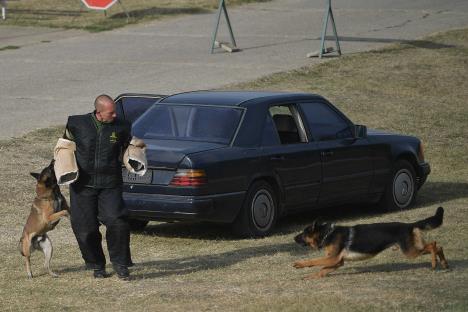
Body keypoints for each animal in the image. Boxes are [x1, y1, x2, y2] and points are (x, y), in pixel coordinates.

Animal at [292, 208, 450, 280]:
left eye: (303, 233)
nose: (293, 238)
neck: (327, 233)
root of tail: (409, 225)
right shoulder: (337, 261)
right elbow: (323, 269)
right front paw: (311, 277)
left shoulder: (333, 258)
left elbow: (314, 261)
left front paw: (299, 264)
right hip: (414, 249)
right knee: (439, 246)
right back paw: (444, 264)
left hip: (410, 252)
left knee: (433, 245)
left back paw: (434, 264)